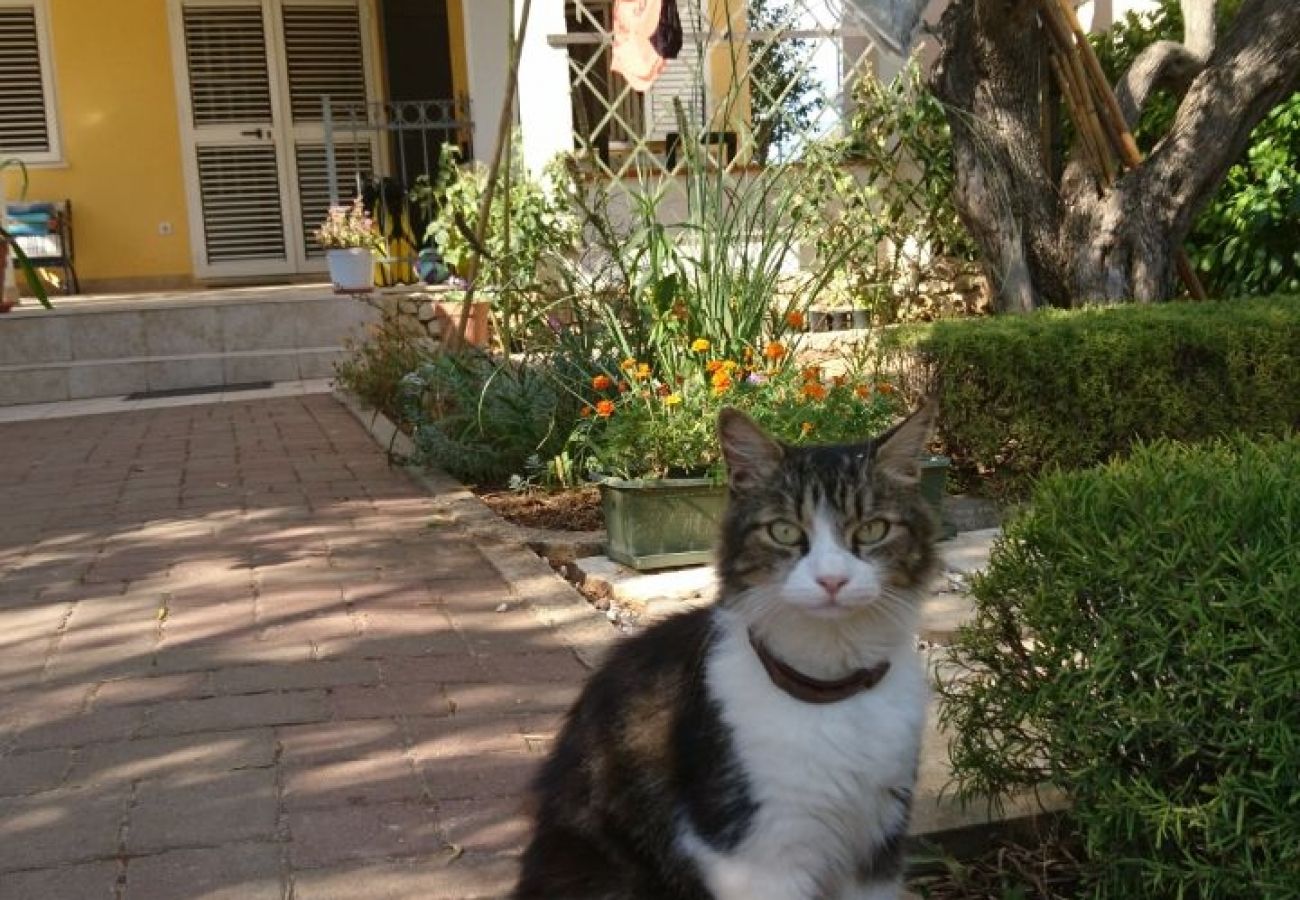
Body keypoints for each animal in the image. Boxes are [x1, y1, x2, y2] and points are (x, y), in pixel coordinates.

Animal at [512, 403, 941, 894]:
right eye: (783, 531)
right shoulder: (756, 857)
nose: (832, 580)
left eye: (872, 529)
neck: (832, 691)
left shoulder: (878, 848)